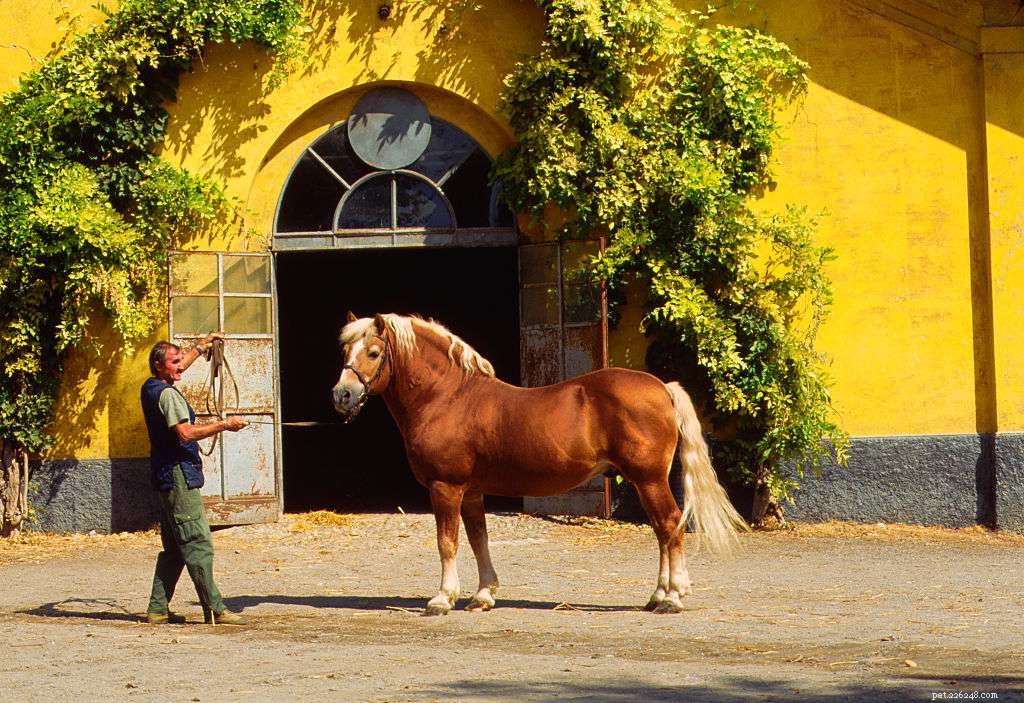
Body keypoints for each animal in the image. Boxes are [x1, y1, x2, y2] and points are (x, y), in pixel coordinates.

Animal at [331, 312, 747, 615]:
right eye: (345, 350)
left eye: (373, 352)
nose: (342, 395)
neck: (448, 398)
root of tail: (662, 387)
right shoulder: (472, 491)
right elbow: (479, 539)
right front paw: (483, 596)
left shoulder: (445, 487)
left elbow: (447, 542)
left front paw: (442, 599)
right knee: (663, 530)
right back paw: (659, 596)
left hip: (649, 479)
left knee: (670, 525)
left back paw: (672, 598)